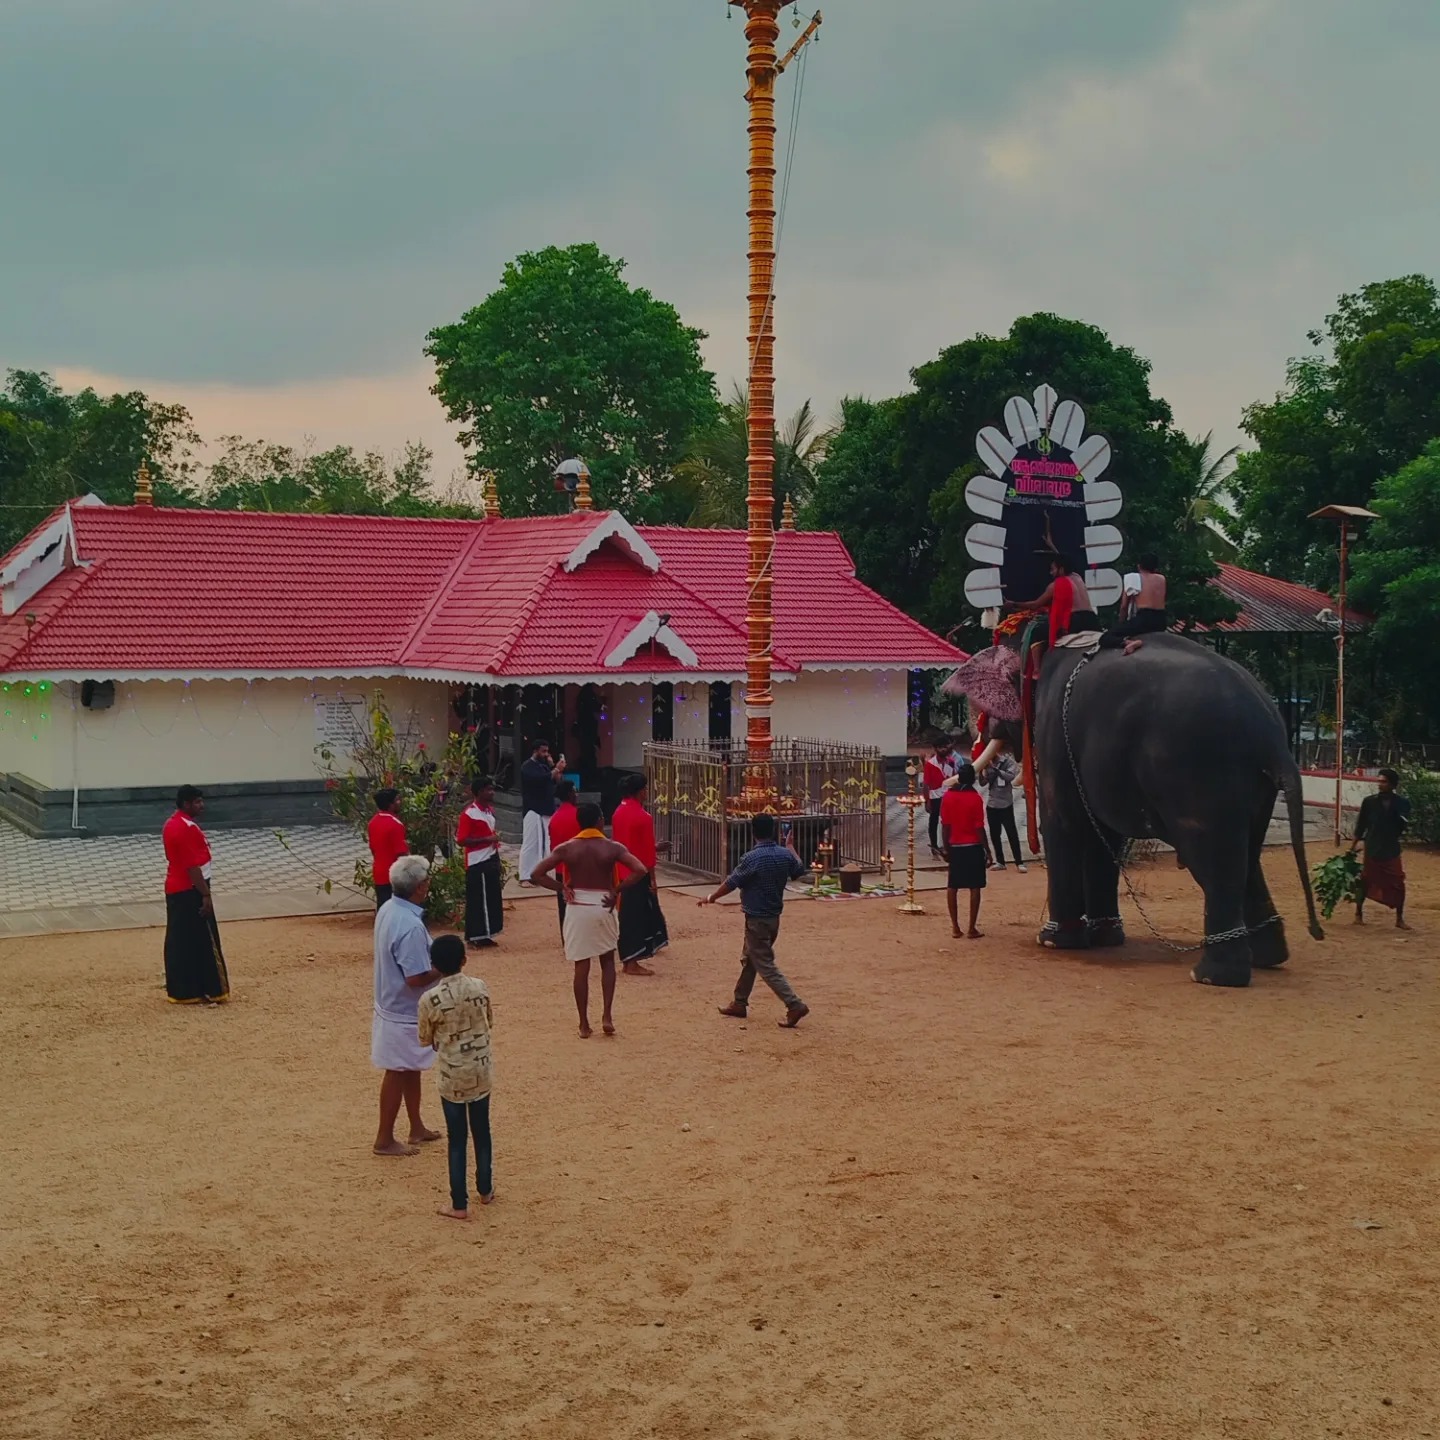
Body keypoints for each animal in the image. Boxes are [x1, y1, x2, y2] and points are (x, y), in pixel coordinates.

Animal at [950, 636, 1319, 984]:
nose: (979, 739)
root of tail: (1273, 737)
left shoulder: (1054, 730)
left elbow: (1063, 822)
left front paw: (1054, 941)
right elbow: (1106, 837)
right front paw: (1106, 936)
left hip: (1198, 771)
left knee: (1214, 857)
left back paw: (1212, 977)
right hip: (1252, 787)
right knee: (1247, 856)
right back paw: (1268, 958)